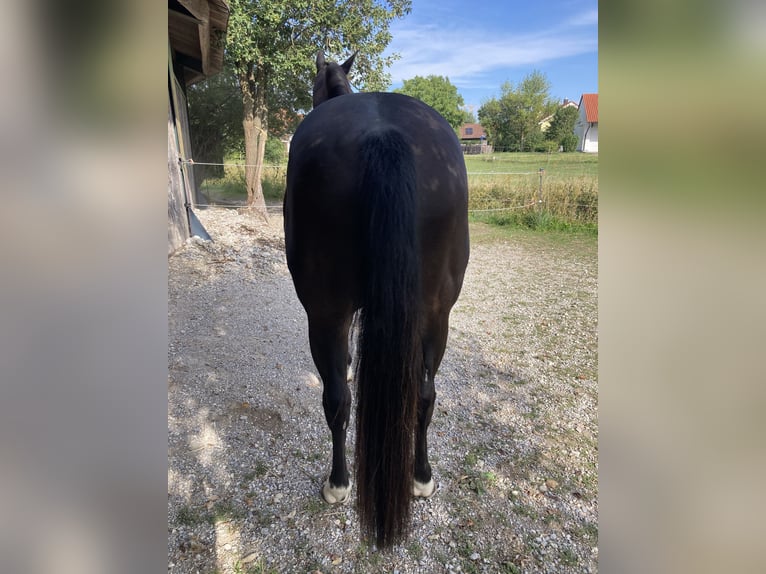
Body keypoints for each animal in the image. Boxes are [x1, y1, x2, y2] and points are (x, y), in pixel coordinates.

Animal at [283, 51, 470, 548]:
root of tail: (382, 133)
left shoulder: (336, 312)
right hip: (436, 315)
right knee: (424, 394)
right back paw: (421, 478)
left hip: (323, 311)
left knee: (337, 400)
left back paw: (338, 484)